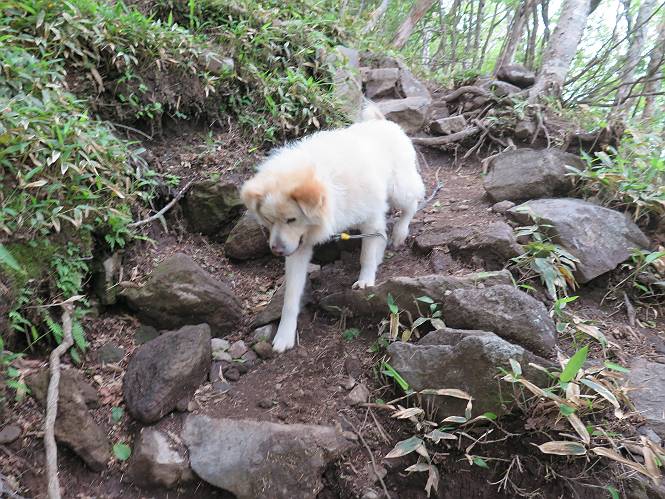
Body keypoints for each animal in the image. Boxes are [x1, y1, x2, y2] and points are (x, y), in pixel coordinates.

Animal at [240, 104, 425, 352]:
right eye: (269, 221)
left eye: (291, 219)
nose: (277, 250)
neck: (329, 183)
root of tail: (382, 122)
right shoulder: (298, 247)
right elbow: (290, 297)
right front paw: (284, 335)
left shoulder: (372, 218)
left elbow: (367, 255)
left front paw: (366, 280)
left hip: (399, 189)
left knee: (412, 202)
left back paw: (400, 232)